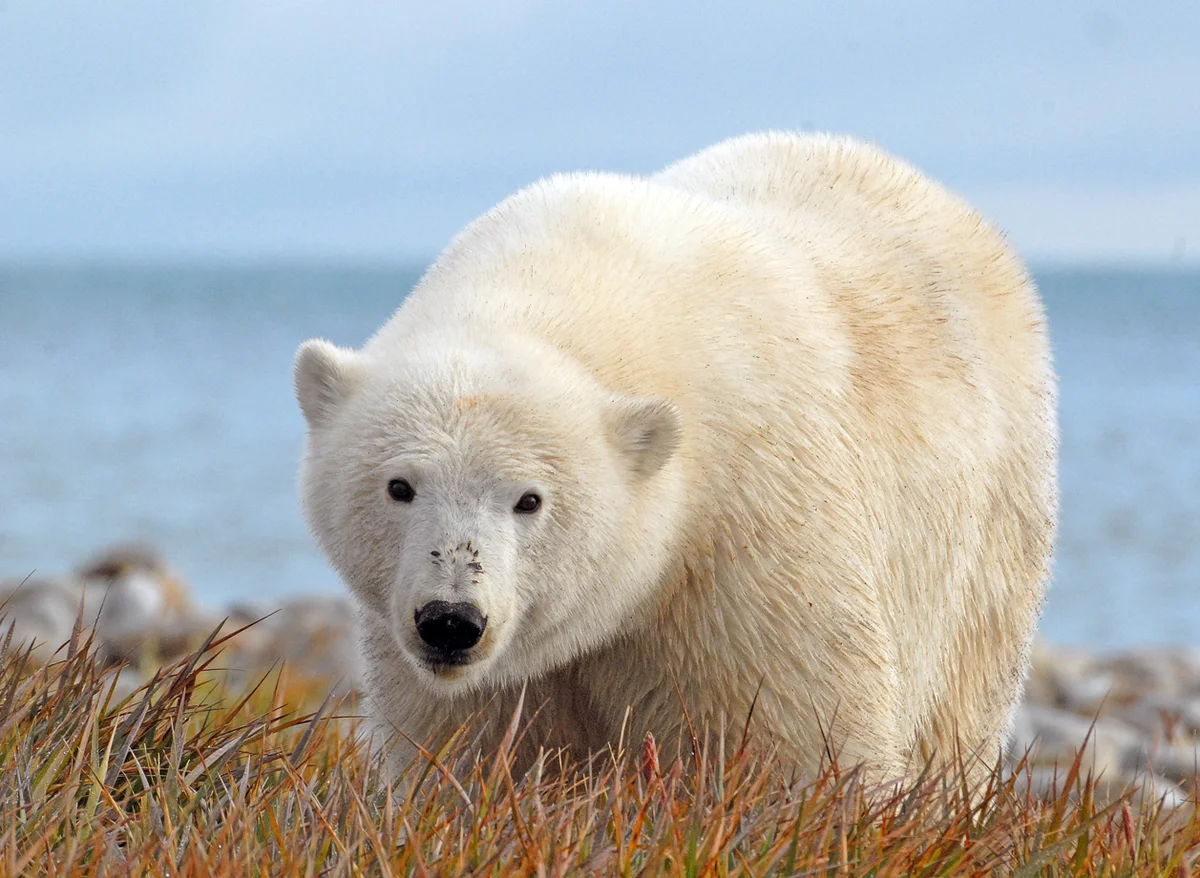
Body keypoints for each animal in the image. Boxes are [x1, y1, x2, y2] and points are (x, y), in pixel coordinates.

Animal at [295, 130, 1056, 782]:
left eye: (529, 498)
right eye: (399, 486)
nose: (452, 620)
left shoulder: (747, 534)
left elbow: (800, 731)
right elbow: (465, 749)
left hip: (990, 524)